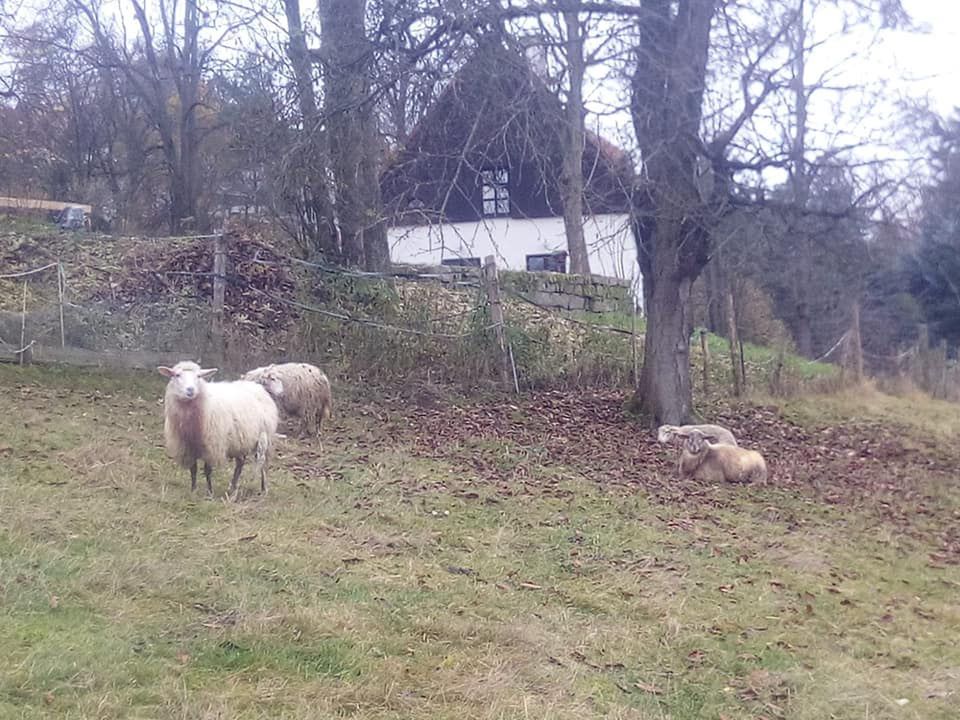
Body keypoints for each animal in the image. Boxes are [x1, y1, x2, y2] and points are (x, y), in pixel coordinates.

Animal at [158, 362, 282, 498]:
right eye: (177, 375)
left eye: (199, 376)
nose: (190, 390)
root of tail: (258, 387)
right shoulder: (187, 448)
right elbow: (193, 469)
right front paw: (193, 490)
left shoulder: (212, 446)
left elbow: (207, 470)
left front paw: (209, 493)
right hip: (240, 440)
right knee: (240, 463)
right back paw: (233, 488)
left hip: (265, 438)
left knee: (263, 465)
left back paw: (263, 489)